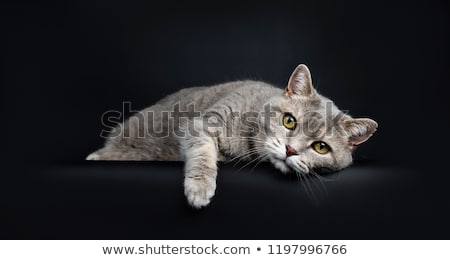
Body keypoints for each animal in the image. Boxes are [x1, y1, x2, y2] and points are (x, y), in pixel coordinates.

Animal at [87, 64, 376, 208]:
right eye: (289, 121)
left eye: (321, 147)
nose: (290, 150)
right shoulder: (202, 125)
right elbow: (202, 155)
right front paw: (200, 189)